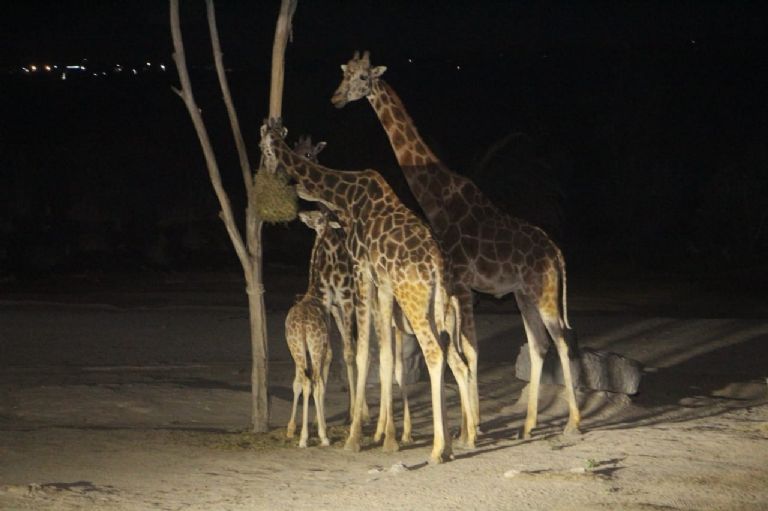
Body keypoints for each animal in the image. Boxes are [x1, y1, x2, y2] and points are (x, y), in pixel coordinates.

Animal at [260, 120, 475, 464]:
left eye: (266, 148)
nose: (279, 178)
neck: (348, 196)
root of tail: (439, 265)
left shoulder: (362, 272)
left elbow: (361, 353)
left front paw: (355, 436)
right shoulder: (382, 280)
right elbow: (384, 356)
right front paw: (387, 438)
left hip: (414, 301)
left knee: (434, 353)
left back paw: (438, 449)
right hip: (436, 307)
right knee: (456, 359)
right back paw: (457, 443)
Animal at [331, 51, 581, 439]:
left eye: (361, 78)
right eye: (343, 74)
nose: (336, 99)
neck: (438, 198)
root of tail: (558, 255)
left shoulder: (460, 282)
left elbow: (469, 349)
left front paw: (468, 431)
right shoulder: (454, 286)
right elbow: (462, 348)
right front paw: (469, 426)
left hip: (545, 293)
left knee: (563, 341)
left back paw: (572, 422)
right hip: (524, 294)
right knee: (540, 345)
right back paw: (527, 426)